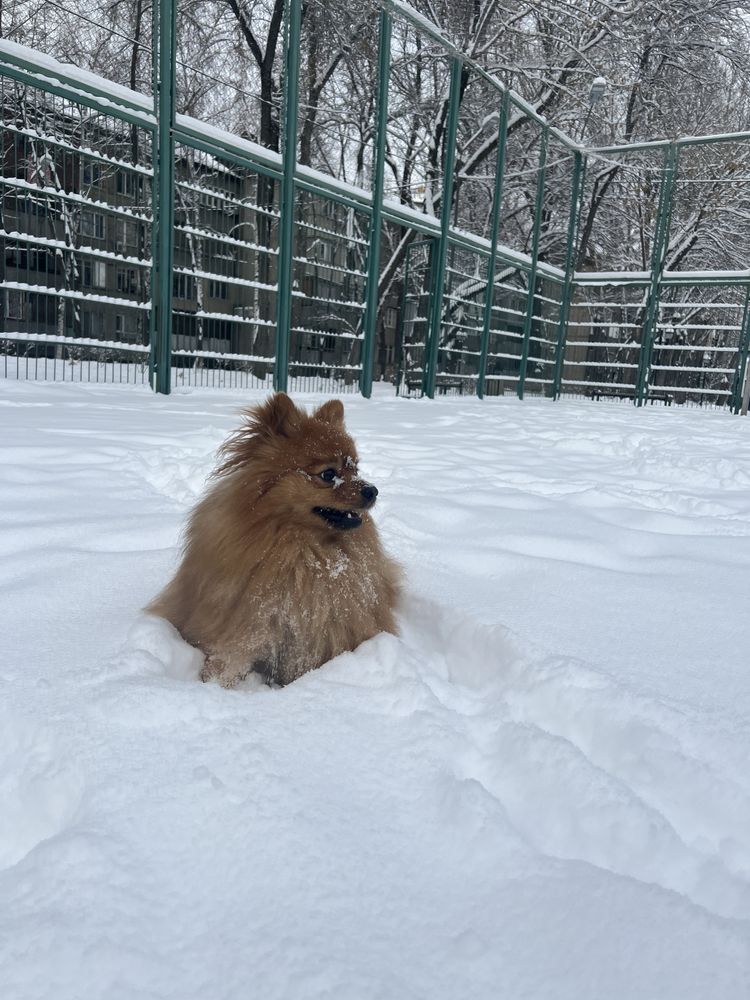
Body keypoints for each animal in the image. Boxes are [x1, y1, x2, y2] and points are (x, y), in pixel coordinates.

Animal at [148, 390, 406, 688]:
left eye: (355, 469)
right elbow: (228, 662)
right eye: (328, 474)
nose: (372, 490)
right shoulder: (245, 629)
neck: (305, 552)